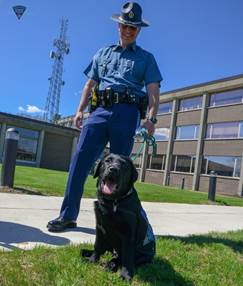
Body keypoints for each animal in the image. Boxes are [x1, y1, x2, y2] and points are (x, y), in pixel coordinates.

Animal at [80, 154, 155, 282]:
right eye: (107, 161)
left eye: (124, 164)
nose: (113, 169)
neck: (113, 202)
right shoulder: (99, 227)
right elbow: (97, 246)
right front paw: (92, 260)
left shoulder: (128, 235)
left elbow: (127, 257)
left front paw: (126, 275)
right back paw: (86, 252)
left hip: (141, 255)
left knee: (119, 258)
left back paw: (110, 265)